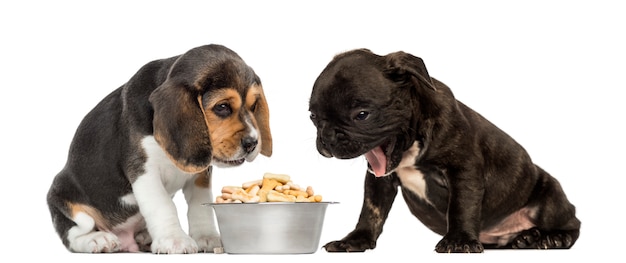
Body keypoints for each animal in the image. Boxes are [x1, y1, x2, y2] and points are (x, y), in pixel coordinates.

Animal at [47, 44, 272, 255]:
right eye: (222, 107)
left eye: (254, 106)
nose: (252, 143)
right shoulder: (144, 171)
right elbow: (163, 205)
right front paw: (175, 240)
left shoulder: (200, 174)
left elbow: (200, 206)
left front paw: (207, 237)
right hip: (64, 198)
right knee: (74, 234)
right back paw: (98, 240)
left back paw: (144, 237)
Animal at [310, 48, 576, 253]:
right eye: (313, 117)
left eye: (362, 115)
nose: (328, 138)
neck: (412, 146)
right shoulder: (379, 182)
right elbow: (370, 211)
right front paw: (354, 240)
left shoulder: (463, 171)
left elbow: (461, 206)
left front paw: (458, 240)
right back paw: (527, 238)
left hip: (550, 198)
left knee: (573, 221)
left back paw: (553, 238)